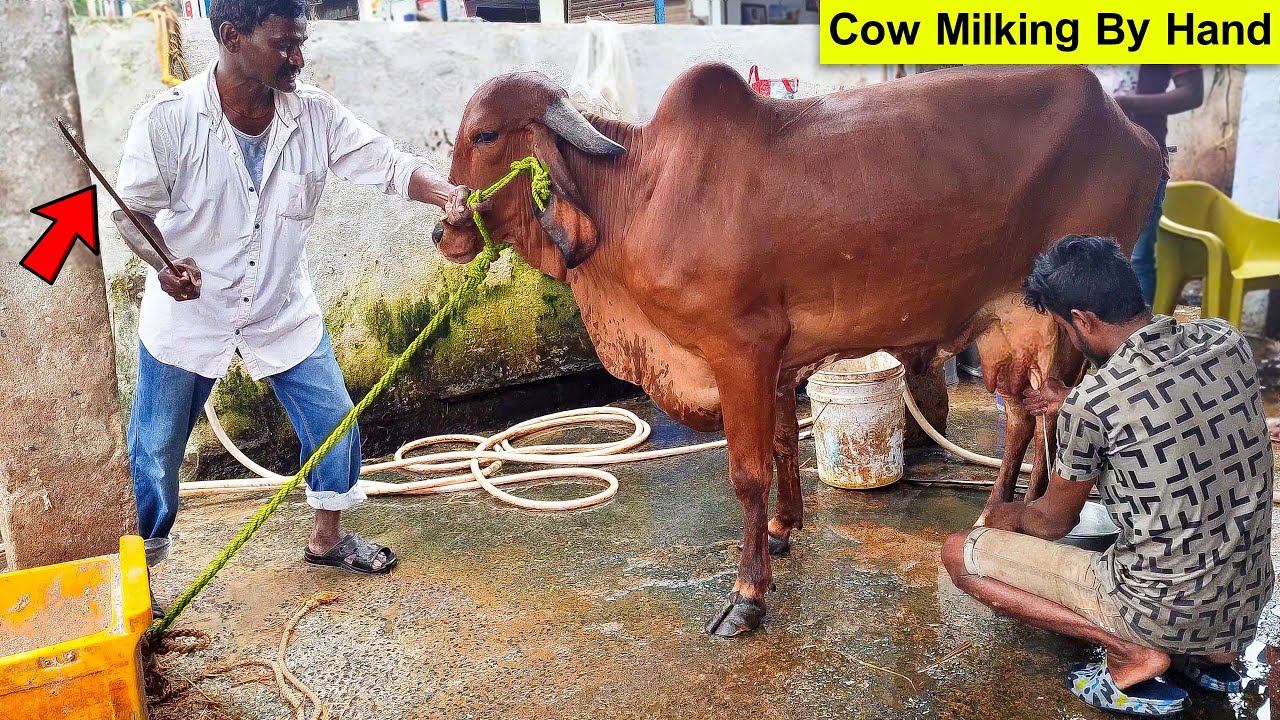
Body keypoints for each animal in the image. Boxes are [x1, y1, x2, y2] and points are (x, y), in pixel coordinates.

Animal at [433, 63, 1164, 636]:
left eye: (486, 134)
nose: (445, 231)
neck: (643, 192)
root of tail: (1132, 130)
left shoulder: (741, 350)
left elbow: (747, 473)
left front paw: (747, 597)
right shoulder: (779, 360)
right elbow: (786, 444)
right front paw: (785, 530)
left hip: (1059, 321)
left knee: (1050, 416)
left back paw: (1015, 519)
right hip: (1007, 326)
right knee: (1023, 417)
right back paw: (1000, 514)